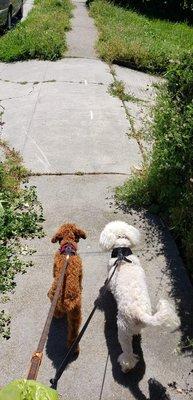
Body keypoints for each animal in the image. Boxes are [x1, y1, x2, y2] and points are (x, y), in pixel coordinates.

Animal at [47, 223, 86, 352]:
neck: (68, 247)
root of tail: (67, 301)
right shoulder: (81, 273)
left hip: (54, 298)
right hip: (76, 314)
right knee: (73, 332)